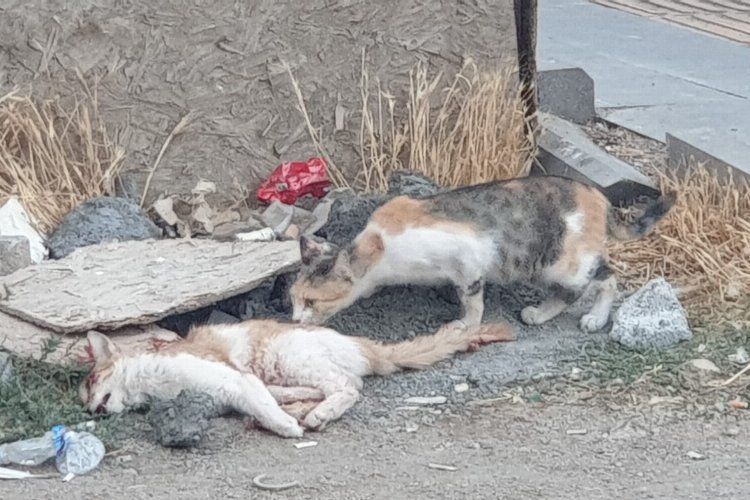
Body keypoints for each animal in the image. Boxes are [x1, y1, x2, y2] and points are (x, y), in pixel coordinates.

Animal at [82, 320, 516, 438]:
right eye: (85, 397)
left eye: (89, 384)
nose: (89, 411)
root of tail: (363, 344)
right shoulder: (233, 390)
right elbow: (263, 404)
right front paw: (283, 419)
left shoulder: (235, 380)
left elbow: (264, 406)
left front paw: (285, 428)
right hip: (281, 370)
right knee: (319, 388)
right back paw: (305, 409)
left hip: (286, 354)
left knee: (348, 387)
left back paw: (316, 416)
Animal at [290, 176, 680, 332]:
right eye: (293, 299)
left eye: (311, 301)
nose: (293, 320)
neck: (380, 247)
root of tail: (599, 197)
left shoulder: (469, 256)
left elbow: (473, 299)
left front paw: (466, 324)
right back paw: (540, 313)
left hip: (564, 263)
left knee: (604, 279)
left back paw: (592, 318)